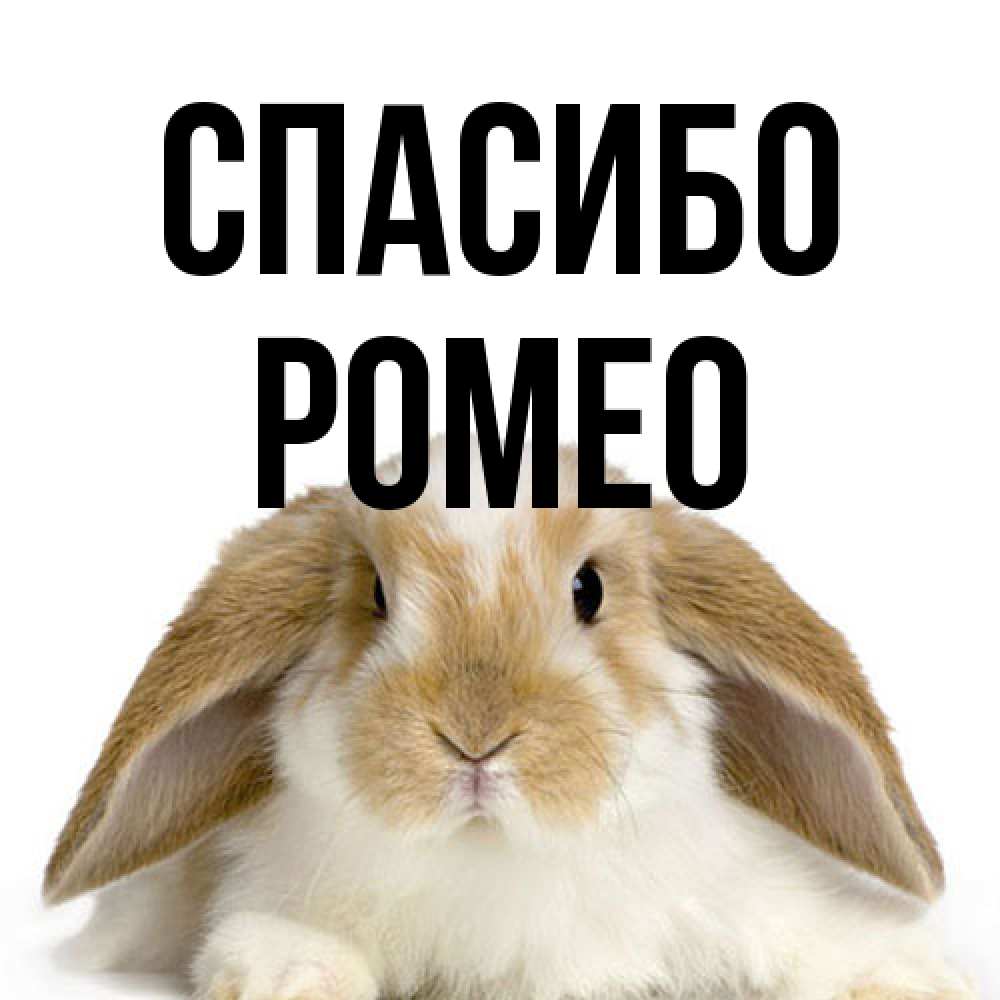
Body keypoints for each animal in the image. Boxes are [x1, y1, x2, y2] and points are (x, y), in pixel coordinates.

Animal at [45, 438, 975, 1000]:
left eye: (589, 589)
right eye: (376, 595)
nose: (475, 737)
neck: (495, 857)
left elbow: (819, 940)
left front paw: (909, 978)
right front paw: (290, 977)